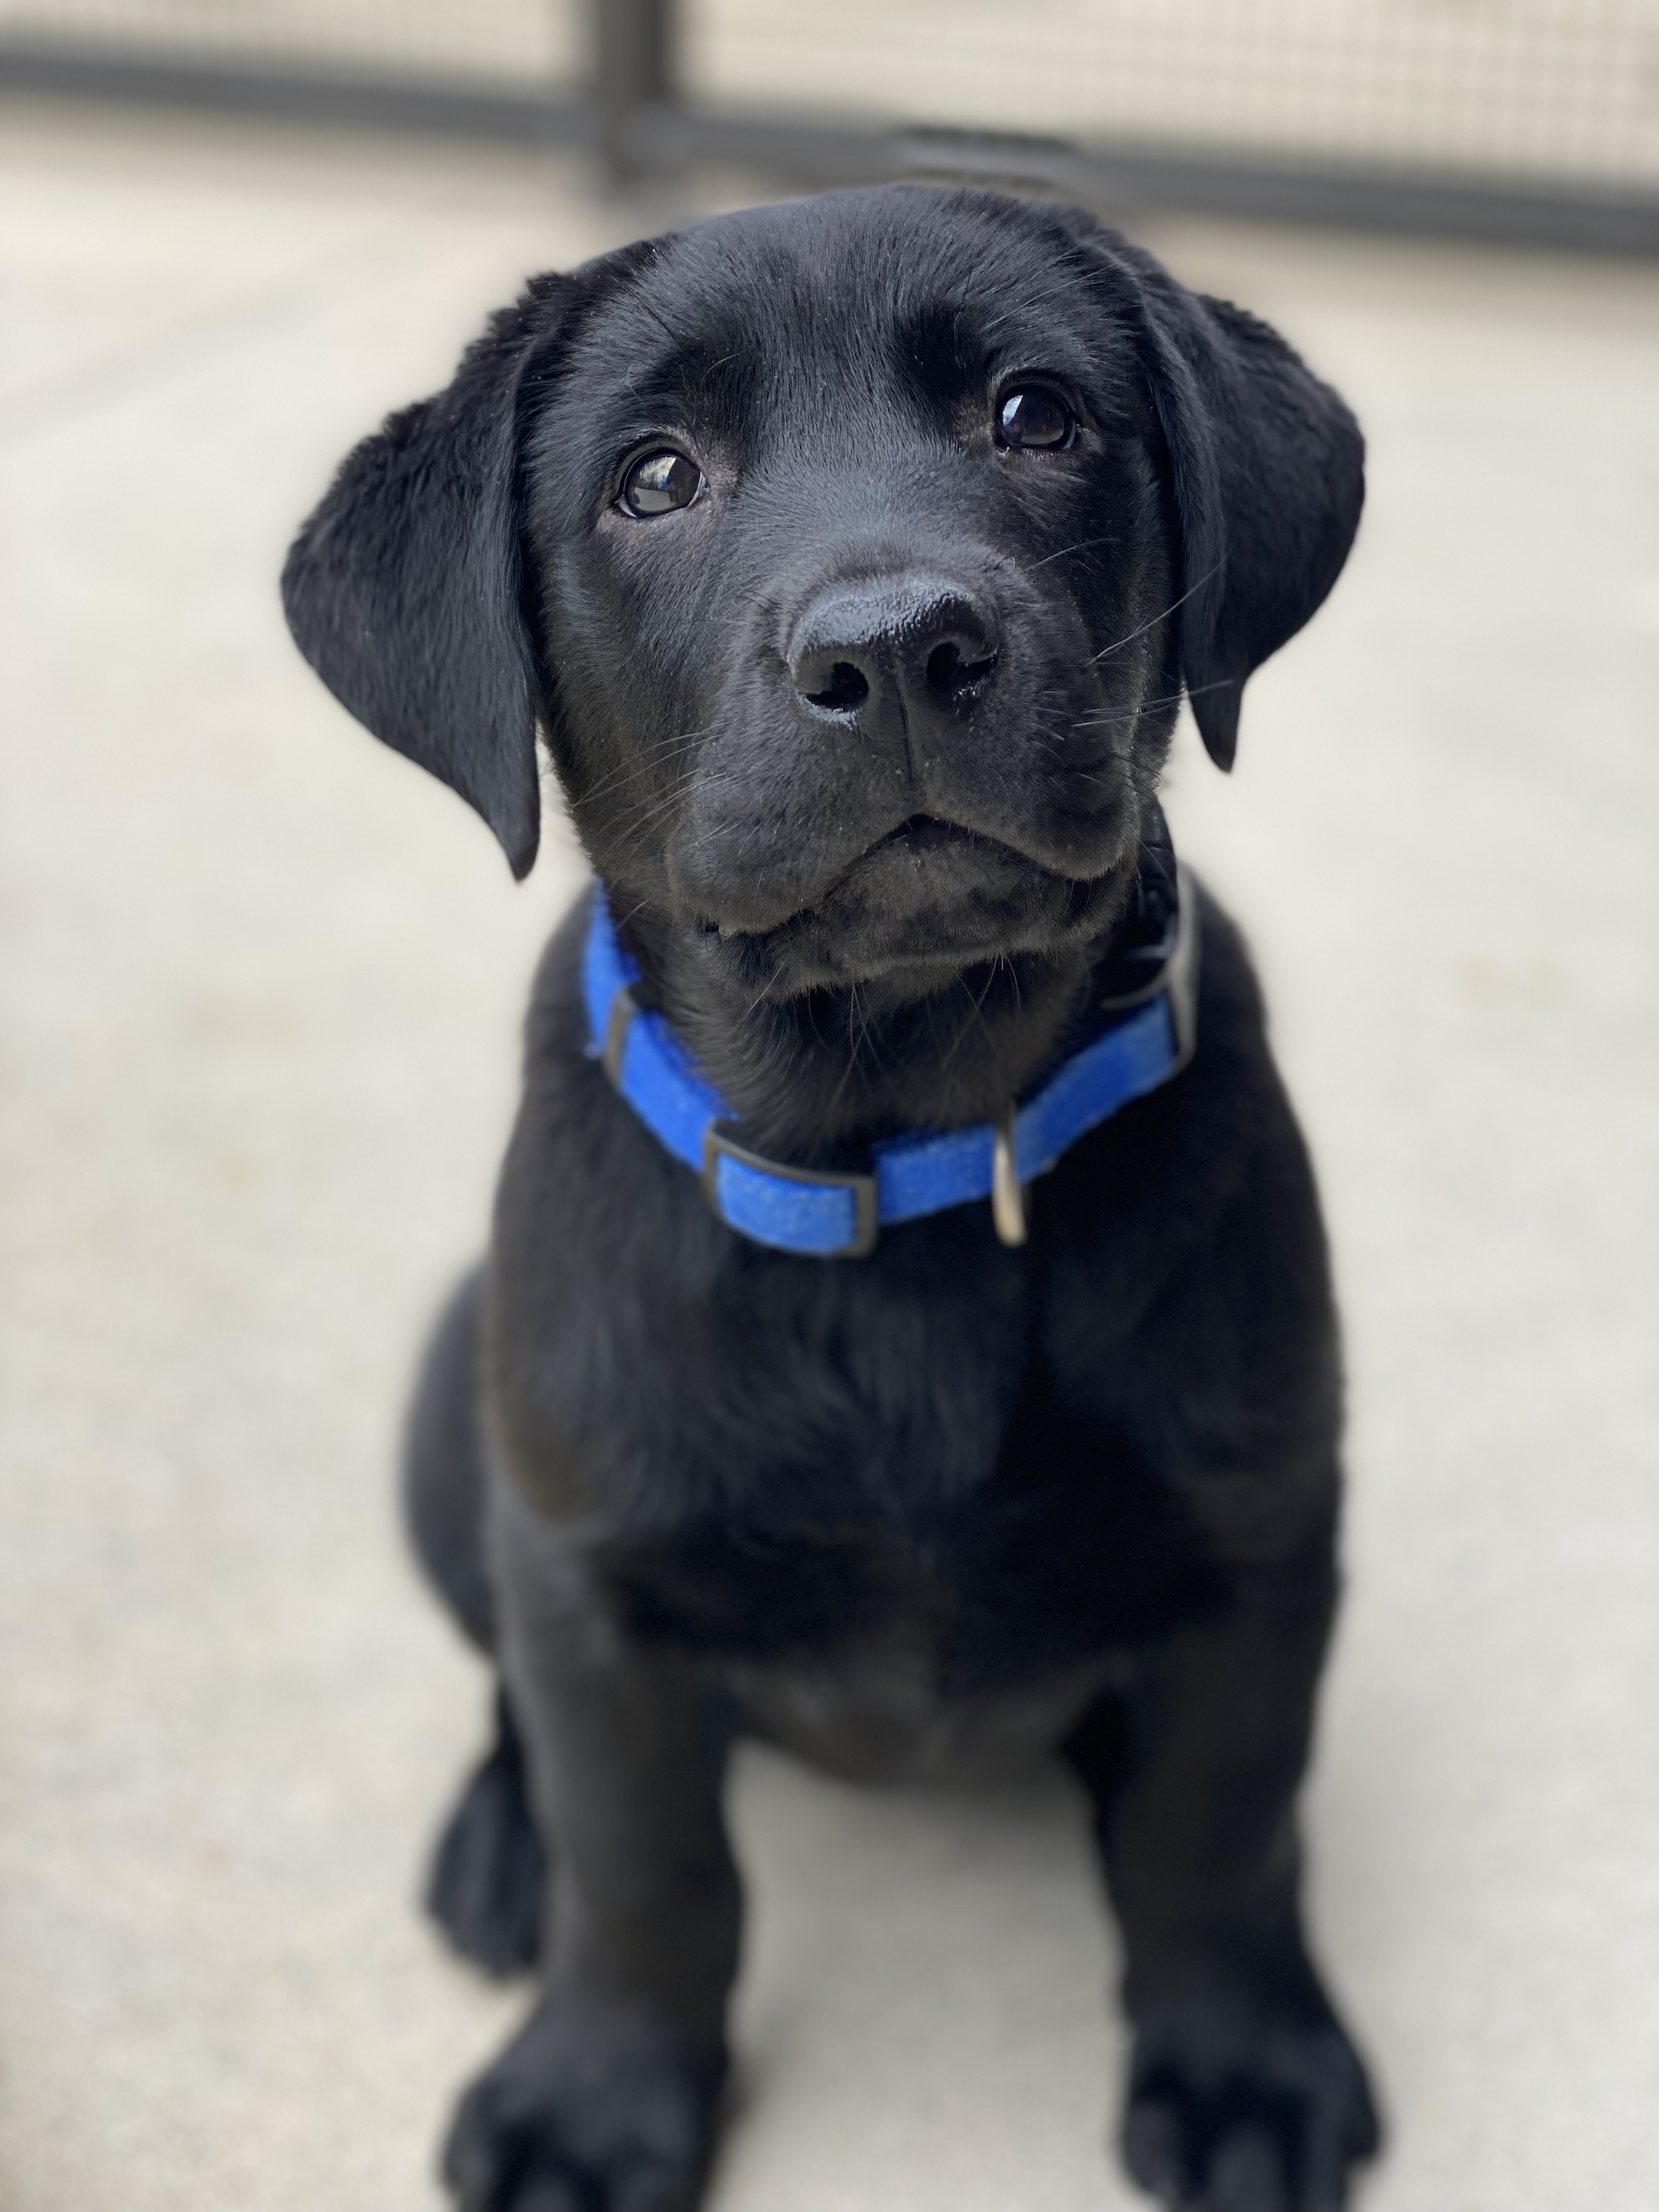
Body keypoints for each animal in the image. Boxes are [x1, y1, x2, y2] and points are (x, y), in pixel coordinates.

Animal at [283, 190, 1380, 2212]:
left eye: (1038, 413)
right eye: (653, 476)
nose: (899, 647)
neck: (904, 1156)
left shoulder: (1262, 1541)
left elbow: (1217, 1829)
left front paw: (1241, 2064)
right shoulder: (597, 1577)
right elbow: (646, 1863)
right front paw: (596, 2097)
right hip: (463, 1434)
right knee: (510, 1692)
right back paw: (500, 1844)